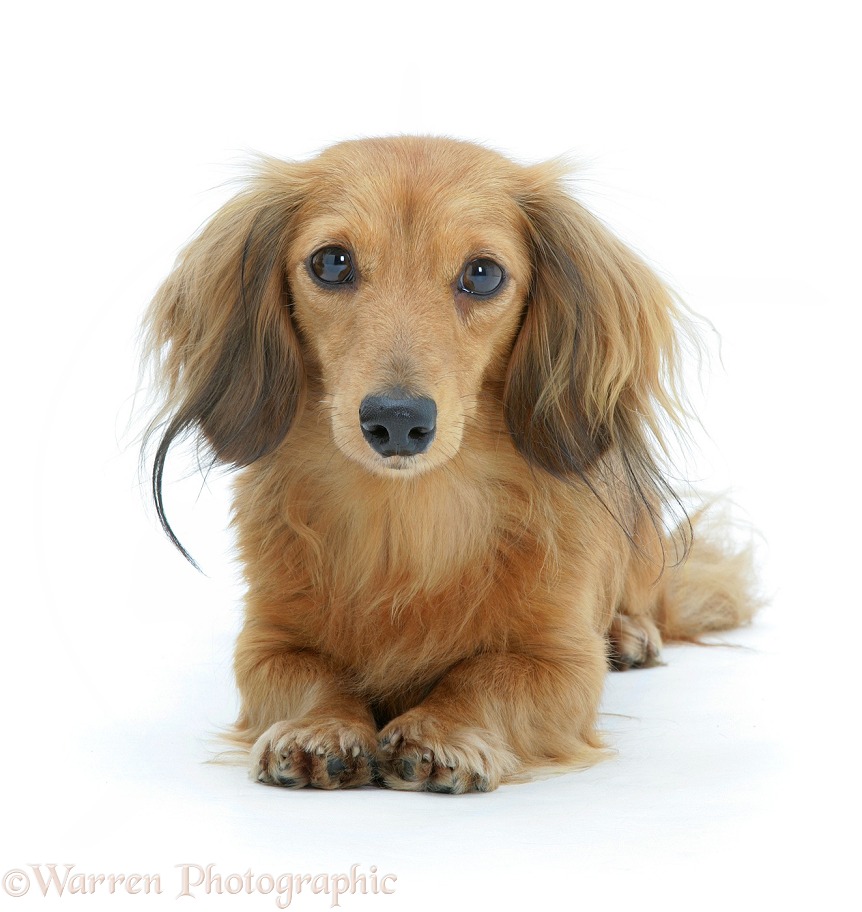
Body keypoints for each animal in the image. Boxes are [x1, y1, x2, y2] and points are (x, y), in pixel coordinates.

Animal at [143, 135, 756, 792]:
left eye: (482, 274)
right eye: (331, 262)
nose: (397, 421)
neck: (407, 521)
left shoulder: (560, 661)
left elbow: (487, 676)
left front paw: (444, 731)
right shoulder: (266, 642)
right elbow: (309, 675)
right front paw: (318, 727)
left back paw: (629, 632)